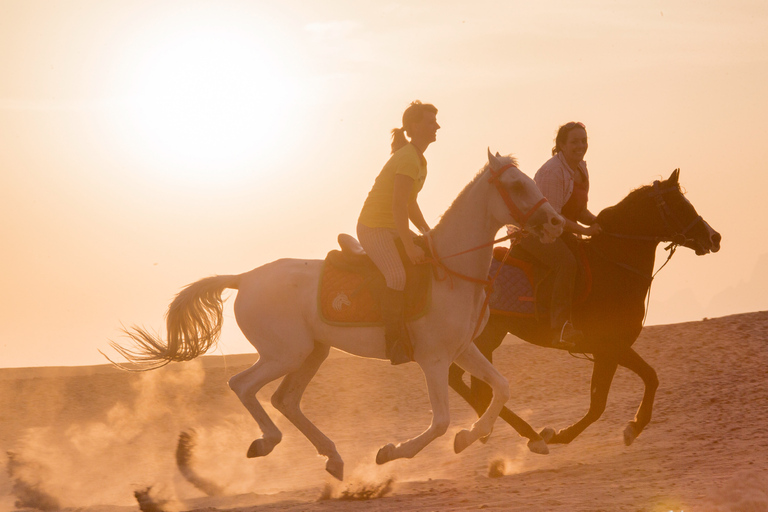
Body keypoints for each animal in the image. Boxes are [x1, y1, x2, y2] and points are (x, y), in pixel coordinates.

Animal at [109, 151, 564, 480]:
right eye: (516, 185)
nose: (556, 222)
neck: (451, 271)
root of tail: (244, 278)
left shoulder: (464, 350)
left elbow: (501, 388)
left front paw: (471, 437)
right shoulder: (434, 360)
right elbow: (439, 421)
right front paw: (392, 452)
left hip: (314, 352)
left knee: (285, 399)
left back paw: (332, 456)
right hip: (285, 353)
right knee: (243, 386)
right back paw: (267, 441)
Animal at [450, 170, 720, 450]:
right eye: (680, 205)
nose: (715, 237)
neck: (613, 266)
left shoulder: (609, 351)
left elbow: (618, 394)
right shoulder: (609, 346)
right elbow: (632, 387)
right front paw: (624, 428)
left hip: (487, 337)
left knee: (467, 381)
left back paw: (493, 429)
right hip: (482, 337)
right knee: (462, 380)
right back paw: (523, 435)